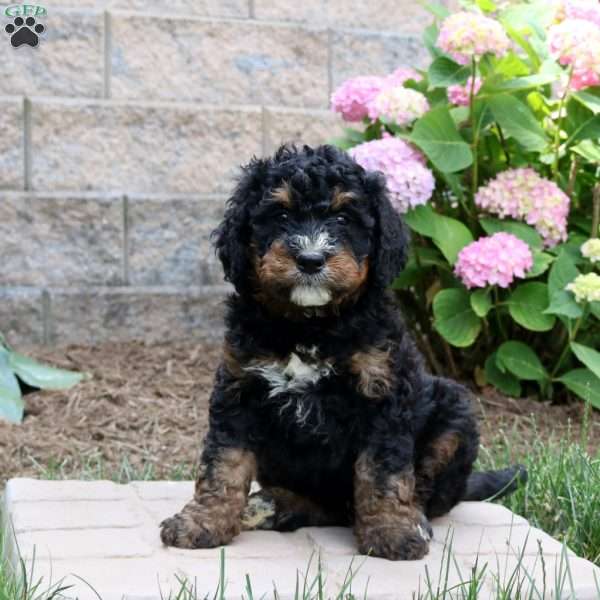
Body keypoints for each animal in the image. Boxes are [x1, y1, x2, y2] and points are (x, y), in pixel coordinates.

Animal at [161, 143, 524, 560]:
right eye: (280, 215)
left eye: (343, 217)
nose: (310, 260)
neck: (309, 325)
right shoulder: (239, 388)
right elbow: (223, 461)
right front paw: (202, 521)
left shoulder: (382, 389)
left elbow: (383, 469)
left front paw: (390, 529)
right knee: (323, 504)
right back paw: (276, 505)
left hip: (454, 410)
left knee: (420, 491)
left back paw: (412, 518)